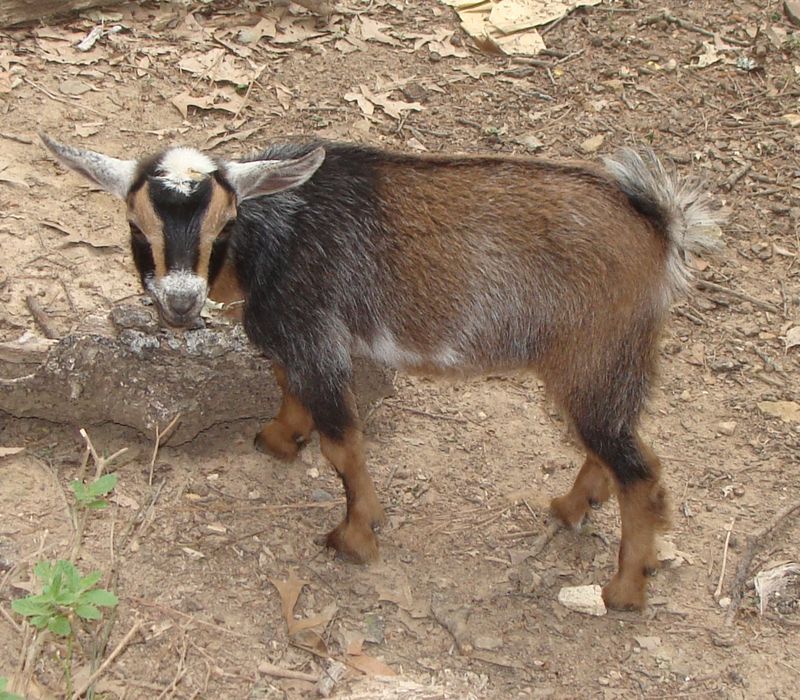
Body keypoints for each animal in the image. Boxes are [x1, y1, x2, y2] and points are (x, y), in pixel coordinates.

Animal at [41, 134, 720, 610]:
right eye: (136, 225)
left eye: (224, 223)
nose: (181, 302)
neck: (277, 236)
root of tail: (661, 228)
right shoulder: (301, 339)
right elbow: (288, 388)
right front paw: (280, 439)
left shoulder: (314, 334)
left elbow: (342, 443)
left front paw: (355, 537)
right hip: (606, 367)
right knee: (613, 443)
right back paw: (574, 506)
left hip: (593, 357)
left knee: (641, 469)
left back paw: (624, 590)